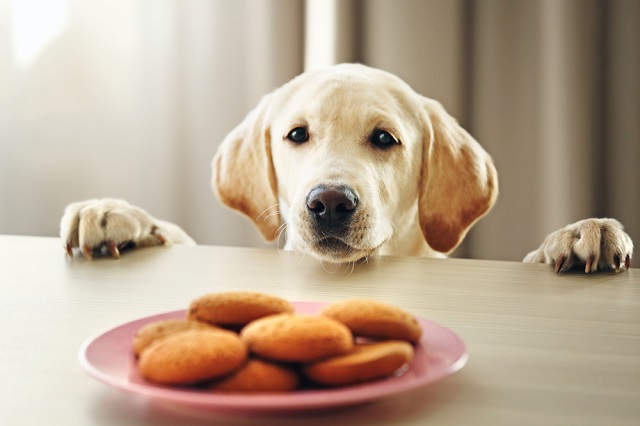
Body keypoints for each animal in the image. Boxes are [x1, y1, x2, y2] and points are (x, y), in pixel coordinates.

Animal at [60, 63, 636, 272]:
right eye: (297, 134)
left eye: (384, 139)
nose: (330, 202)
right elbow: (175, 235)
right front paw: (116, 214)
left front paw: (579, 233)